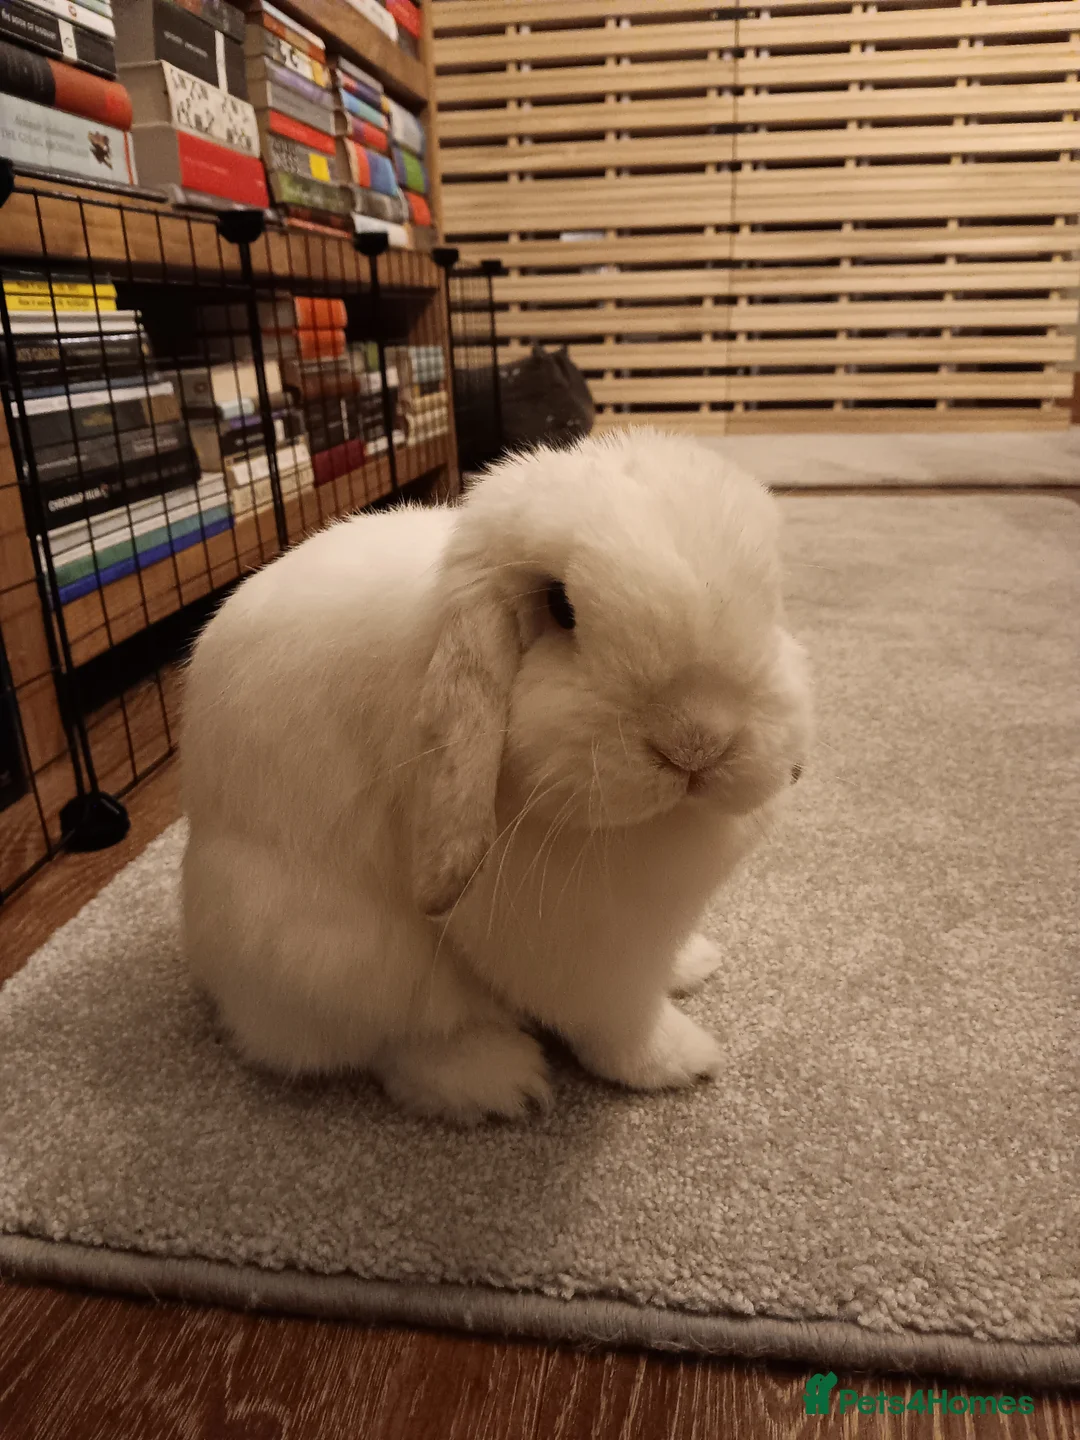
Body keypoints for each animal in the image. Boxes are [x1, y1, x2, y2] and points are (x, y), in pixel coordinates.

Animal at [181, 427, 812, 1122]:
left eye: (771, 603)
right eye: (560, 607)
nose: (697, 743)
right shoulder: (581, 949)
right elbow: (619, 1023)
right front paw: (681, 1061)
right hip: (334, 957)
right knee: (388, 1044)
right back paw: (495, 1080)